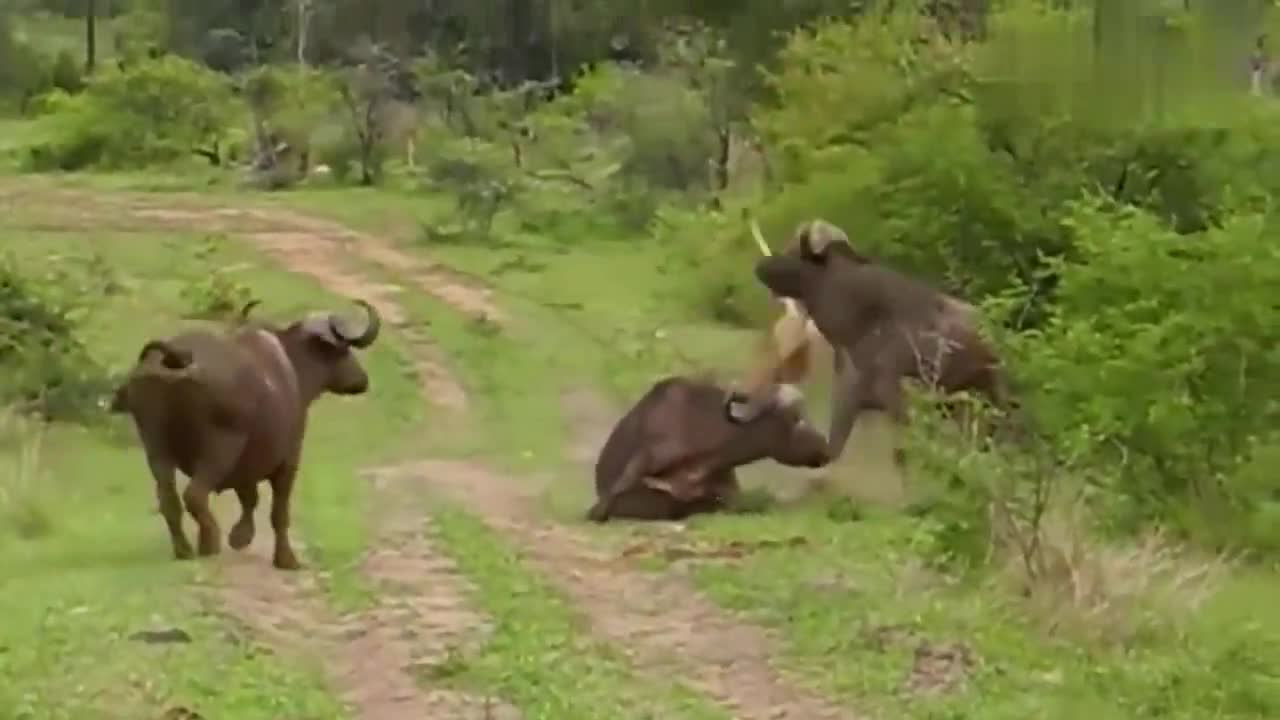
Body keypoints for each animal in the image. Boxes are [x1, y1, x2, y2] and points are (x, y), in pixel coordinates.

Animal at [110, 297, 381, 566]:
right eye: (344, 350)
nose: (362, 380)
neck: (291, 368)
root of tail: (177, 358)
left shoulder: (247, 464)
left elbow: (249, 497)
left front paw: (241, 536)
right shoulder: (288, 460)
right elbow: (278, 511)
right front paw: (285, 558)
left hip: (156, 448)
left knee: (169, 500)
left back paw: (185, 549)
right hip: (221, 448)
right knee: (195, 495)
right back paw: (210, 542)